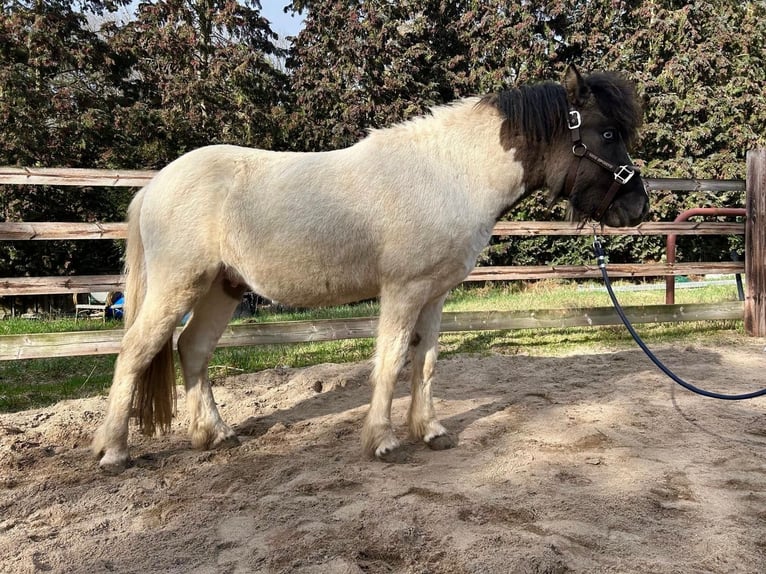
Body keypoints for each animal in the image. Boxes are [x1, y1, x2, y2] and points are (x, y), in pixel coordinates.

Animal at [92, 64, 649, 473]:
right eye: (606, 132)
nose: (638, 207)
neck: (449, 172)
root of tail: (155, 186)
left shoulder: (435, 294)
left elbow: (426, 361)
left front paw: (431, 431)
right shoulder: (403, 290)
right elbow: (391, 358)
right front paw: (382, 441)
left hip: (221, 288)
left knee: (193, 350)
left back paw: (215, 436)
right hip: (179, 286)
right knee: (136, 351)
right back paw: (114, 452)